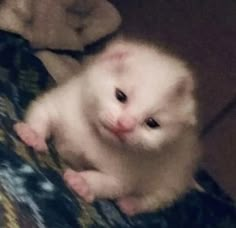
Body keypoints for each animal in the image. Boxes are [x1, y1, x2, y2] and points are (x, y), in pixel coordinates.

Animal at [13, 39, 201, 216]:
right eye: (120, 95)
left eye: (152, 123)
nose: (124, 125)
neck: (95, 134)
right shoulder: (61, 102)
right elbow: (43, 112)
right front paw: (33, 134)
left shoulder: (123, 177)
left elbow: (106, 183)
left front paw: (82, 182)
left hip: (172, 180)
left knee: (154, 199)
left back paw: (131, 204)